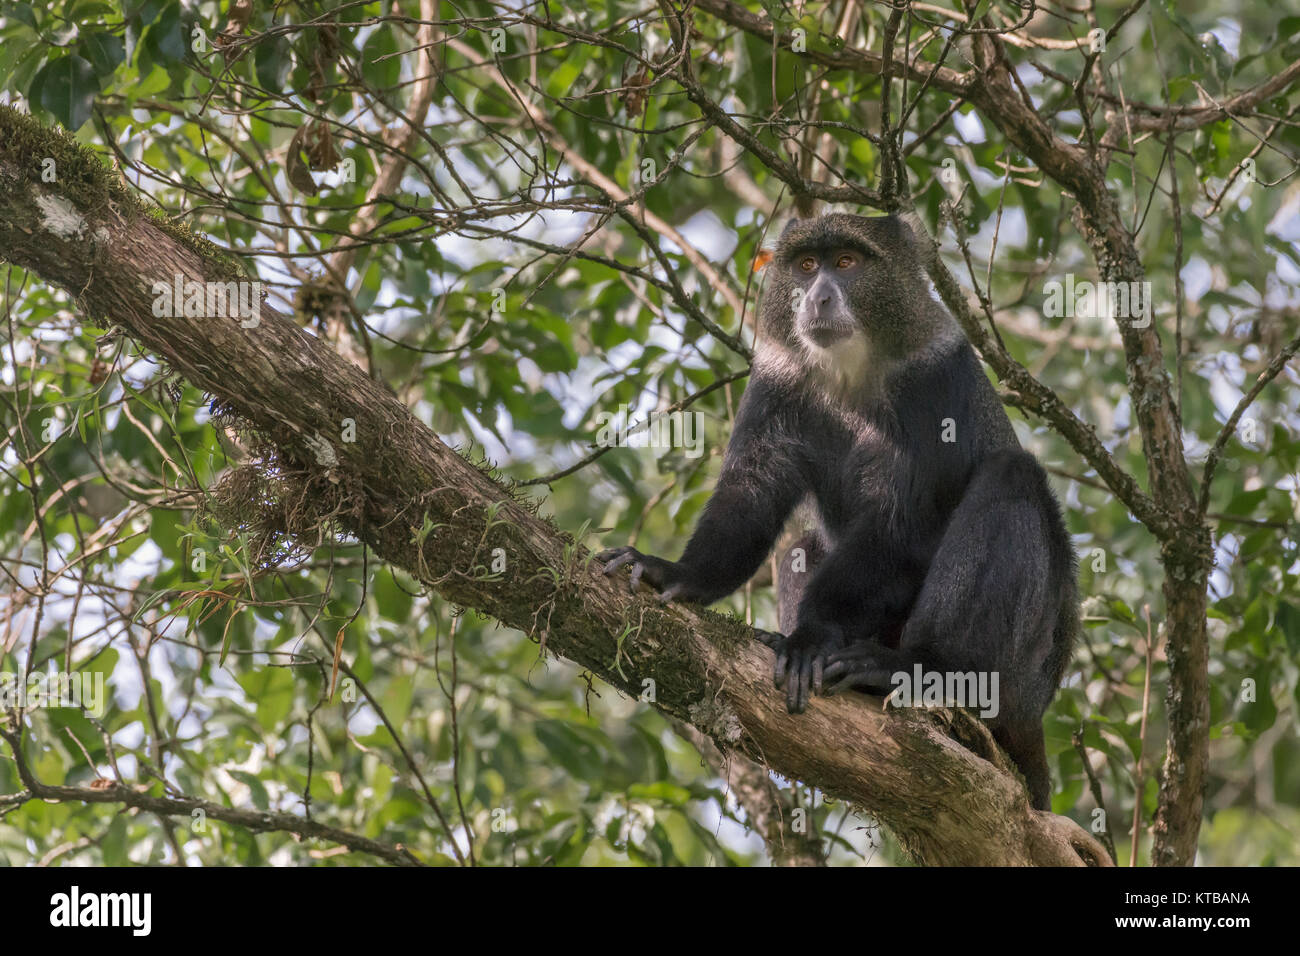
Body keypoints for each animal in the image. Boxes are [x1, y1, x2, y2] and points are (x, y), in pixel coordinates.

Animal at [598, 213, 1076, 811]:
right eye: (806, 265)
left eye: (846, 262)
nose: (818, 297)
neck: (851, 370)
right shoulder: (778, 379)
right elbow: (751, 492)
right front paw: (676, 574)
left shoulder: (934, 380)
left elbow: (902, 527)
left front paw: (812, 636)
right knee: (803, 546)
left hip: (1028, 669)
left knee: (1012, 476)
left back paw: (926, 670)